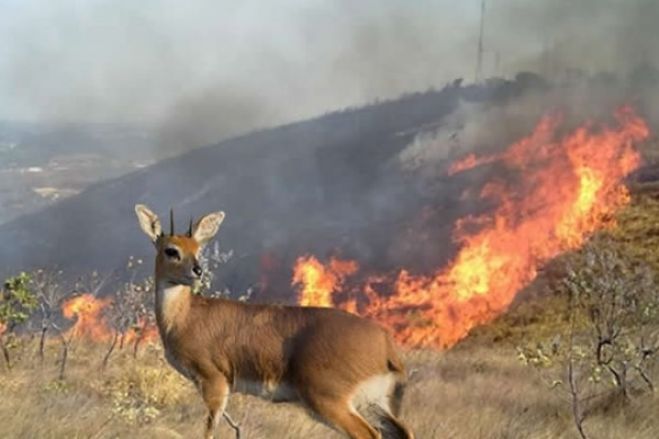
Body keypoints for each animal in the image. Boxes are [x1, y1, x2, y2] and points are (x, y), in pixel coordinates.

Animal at [133, 206, 412, 439]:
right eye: (172, 250)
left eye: (196, 248)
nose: (197, 271)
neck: (184, 317)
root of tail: (385, 343)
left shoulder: (214, 382)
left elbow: (209, 431)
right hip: (375, 403)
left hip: (330, 401)